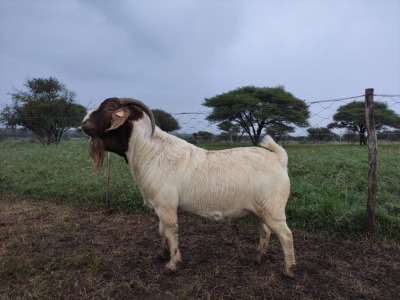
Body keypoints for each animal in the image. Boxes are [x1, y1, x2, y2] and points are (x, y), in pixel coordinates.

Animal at [81, 97, 296, 278]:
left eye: (109, 109)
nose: (83, 123)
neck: (151, 152)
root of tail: (279, 159)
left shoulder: (166, 205)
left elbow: (171, 229)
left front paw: (172, 263)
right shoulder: (160, 205)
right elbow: (162, 231)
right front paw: (162, 253)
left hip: (273, 208)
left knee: (286, 234)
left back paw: (288, 270)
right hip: (258, 209)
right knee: (265, 231)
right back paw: (258, 258)